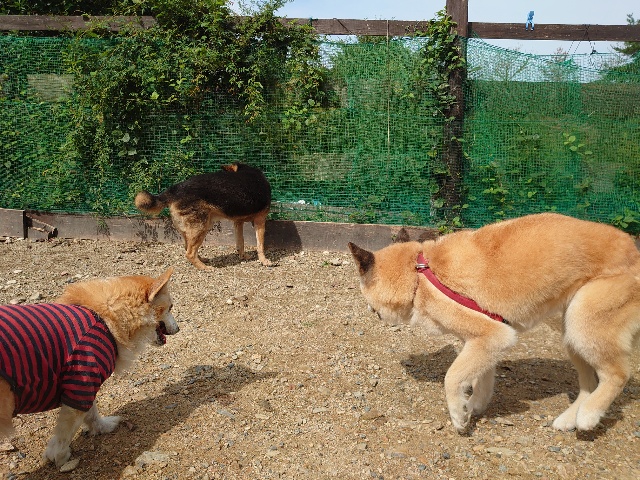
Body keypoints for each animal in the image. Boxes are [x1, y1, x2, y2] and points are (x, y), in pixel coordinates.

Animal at [0, 268, 179, 467]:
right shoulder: (82, 381)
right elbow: (66, 432)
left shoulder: (82, 385)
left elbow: (92, 413)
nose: (178, 329)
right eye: (170, 307)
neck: (104, 316)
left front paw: (103, 427)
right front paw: (59, 456)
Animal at [134, 163, 272, 270]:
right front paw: (264, 261)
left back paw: (201, 260)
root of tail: (174, 189)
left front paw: (243, 256)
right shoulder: (260, 220)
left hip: (191, 230)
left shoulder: (238, 222)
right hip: (202, 227)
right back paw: (204, 267)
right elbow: (260, 245)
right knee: (189, 253)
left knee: (188, 248)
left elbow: (241, 242)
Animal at [348, 213, 640, 433]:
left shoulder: (493, 335)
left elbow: (452, 377)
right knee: (589, 383)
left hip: (583, 324)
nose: (367, 308)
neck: (418, 277)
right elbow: (483, 379)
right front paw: (474, 406)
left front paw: (459, 415)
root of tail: (634, 252)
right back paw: (570, 419)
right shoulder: (485, 342)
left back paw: (589, 415)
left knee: (618, 375)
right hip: (572, 334)